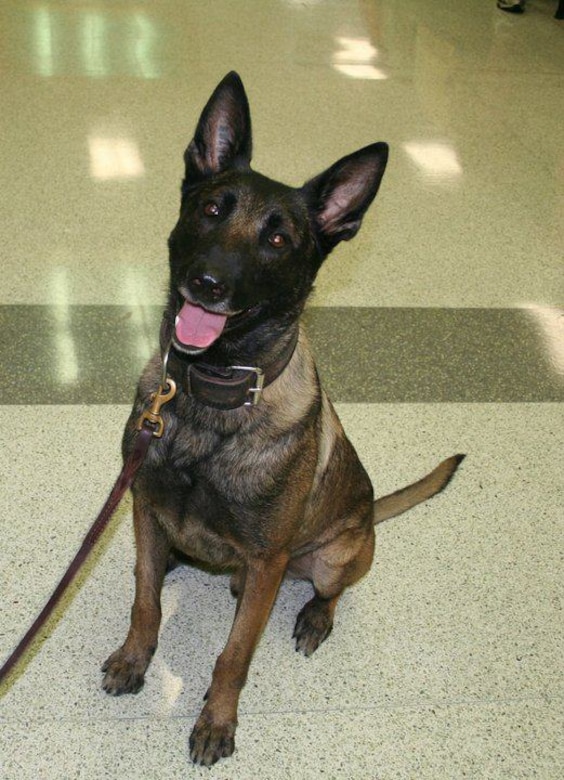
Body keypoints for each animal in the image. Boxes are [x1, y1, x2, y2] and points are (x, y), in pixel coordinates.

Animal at [100, 70, 462, 764]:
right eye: (212, 209)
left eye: (277, 240)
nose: (207, 283)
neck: (209, 394)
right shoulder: (145, 509)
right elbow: (144, 600)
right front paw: (135, 658)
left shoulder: (267, 561)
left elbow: (234, 655)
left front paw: (217, 720)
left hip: (336, 552)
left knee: (329, 589)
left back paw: (315, 616)